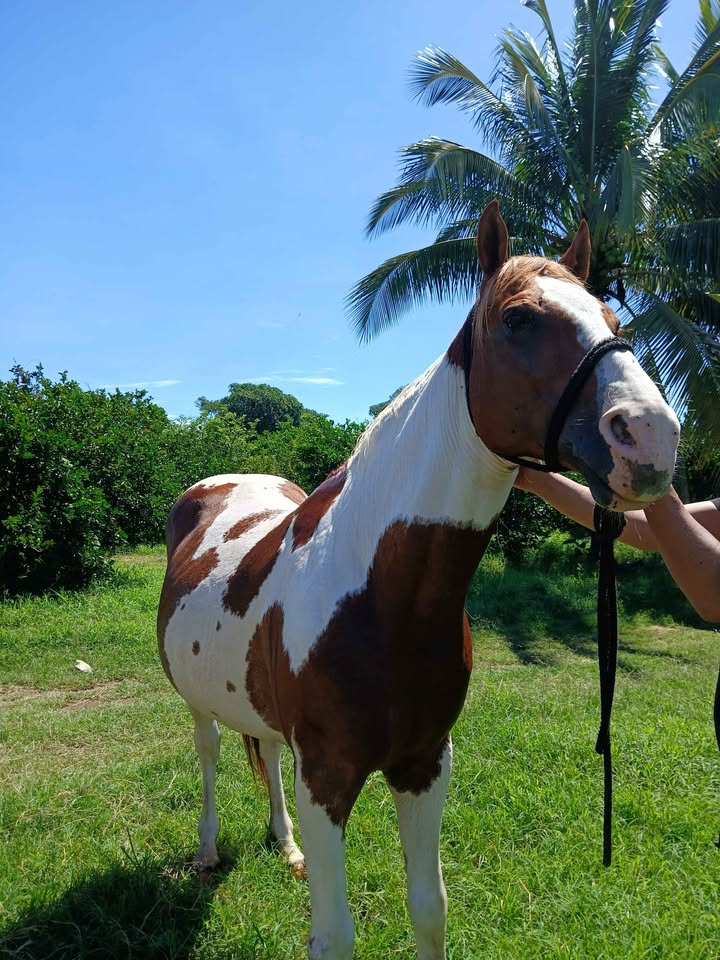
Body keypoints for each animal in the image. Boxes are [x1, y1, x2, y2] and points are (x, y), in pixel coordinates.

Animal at [157, 201, 680, 960]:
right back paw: (204, 851)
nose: (650, 436)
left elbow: (430, 910)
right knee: (207, 753)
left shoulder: (426, 764)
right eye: (517, 319)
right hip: (199, 705)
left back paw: (287, 848)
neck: (381, 596)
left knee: (267, 755)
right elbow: (335, 938)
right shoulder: (328, 779)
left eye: (614, 319)